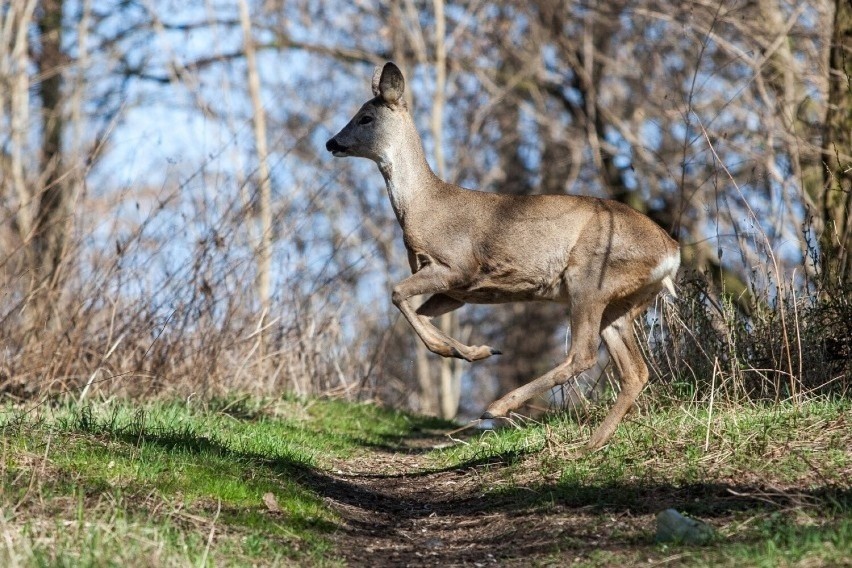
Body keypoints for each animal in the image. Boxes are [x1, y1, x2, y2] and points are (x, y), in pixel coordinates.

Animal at [326, 62, 680, 450]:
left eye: (366, 117)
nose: (331, 143)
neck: (424, 205)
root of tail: (672, 252)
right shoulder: (459, 292)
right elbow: (420, 313)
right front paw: (475, 351)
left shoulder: (457, 267)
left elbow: (397, 293)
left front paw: (469, 352)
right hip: (622, 302)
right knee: (635, 371)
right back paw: (590, 445)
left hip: (589, 280)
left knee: (584, 355)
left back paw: (497, 408)